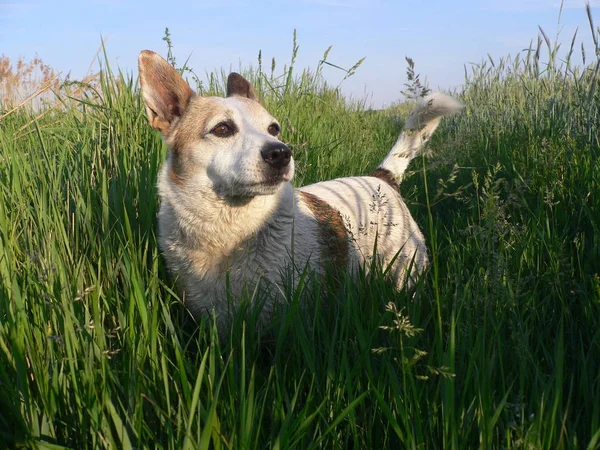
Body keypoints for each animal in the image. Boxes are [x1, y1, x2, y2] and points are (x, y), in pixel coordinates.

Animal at [137, 51, 464, 328]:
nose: (281, 153)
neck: (230, 232)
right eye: (222, 129)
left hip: (405, 273)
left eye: (274, 129)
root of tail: (383, 179)